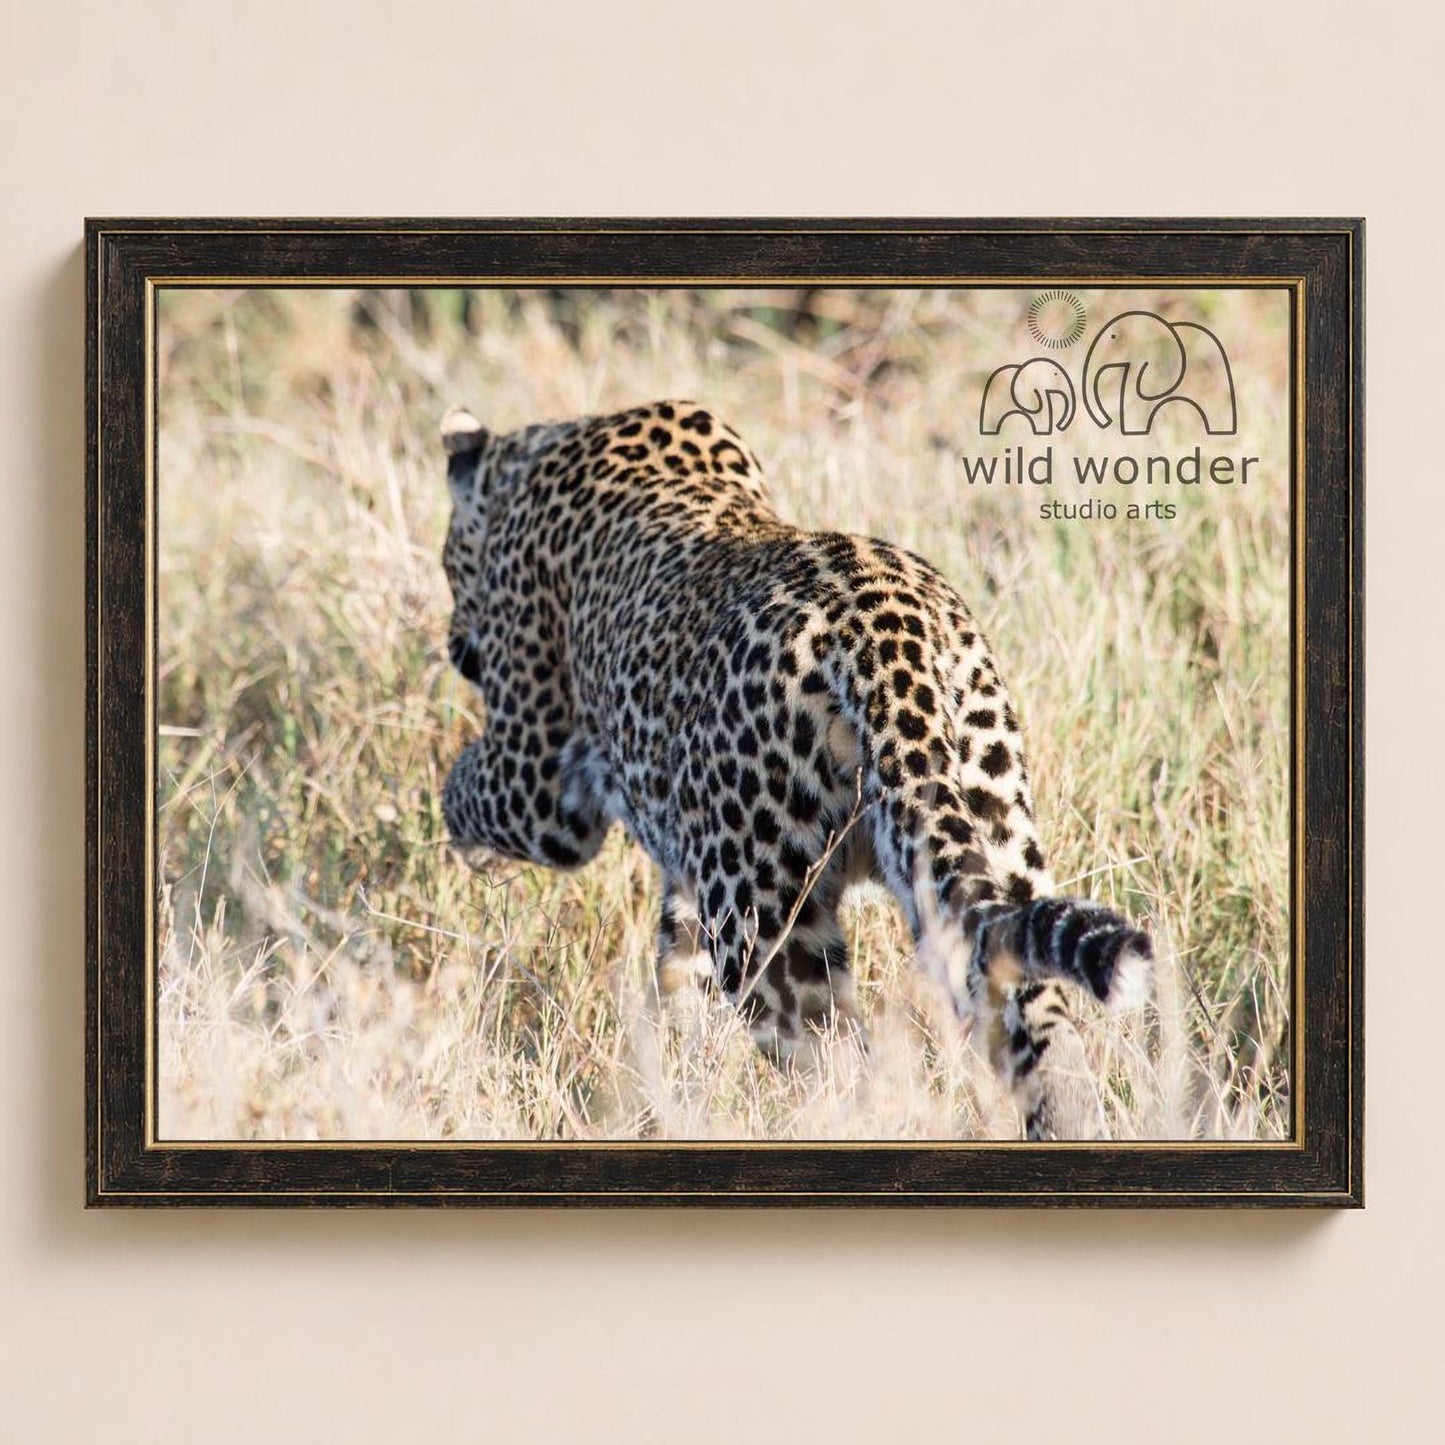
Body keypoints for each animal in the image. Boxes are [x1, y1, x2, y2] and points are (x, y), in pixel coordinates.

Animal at [438, 398, 1152, 1140]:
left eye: (446, 565)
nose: (454, 643)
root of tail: (887, 635)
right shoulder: (688, 874)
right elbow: (676, 974)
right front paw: (663, 1080)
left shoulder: (538, 779)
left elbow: (470, 786)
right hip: (990, 838)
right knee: (1038, 1027)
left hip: (769, 927)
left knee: (844, 1073)